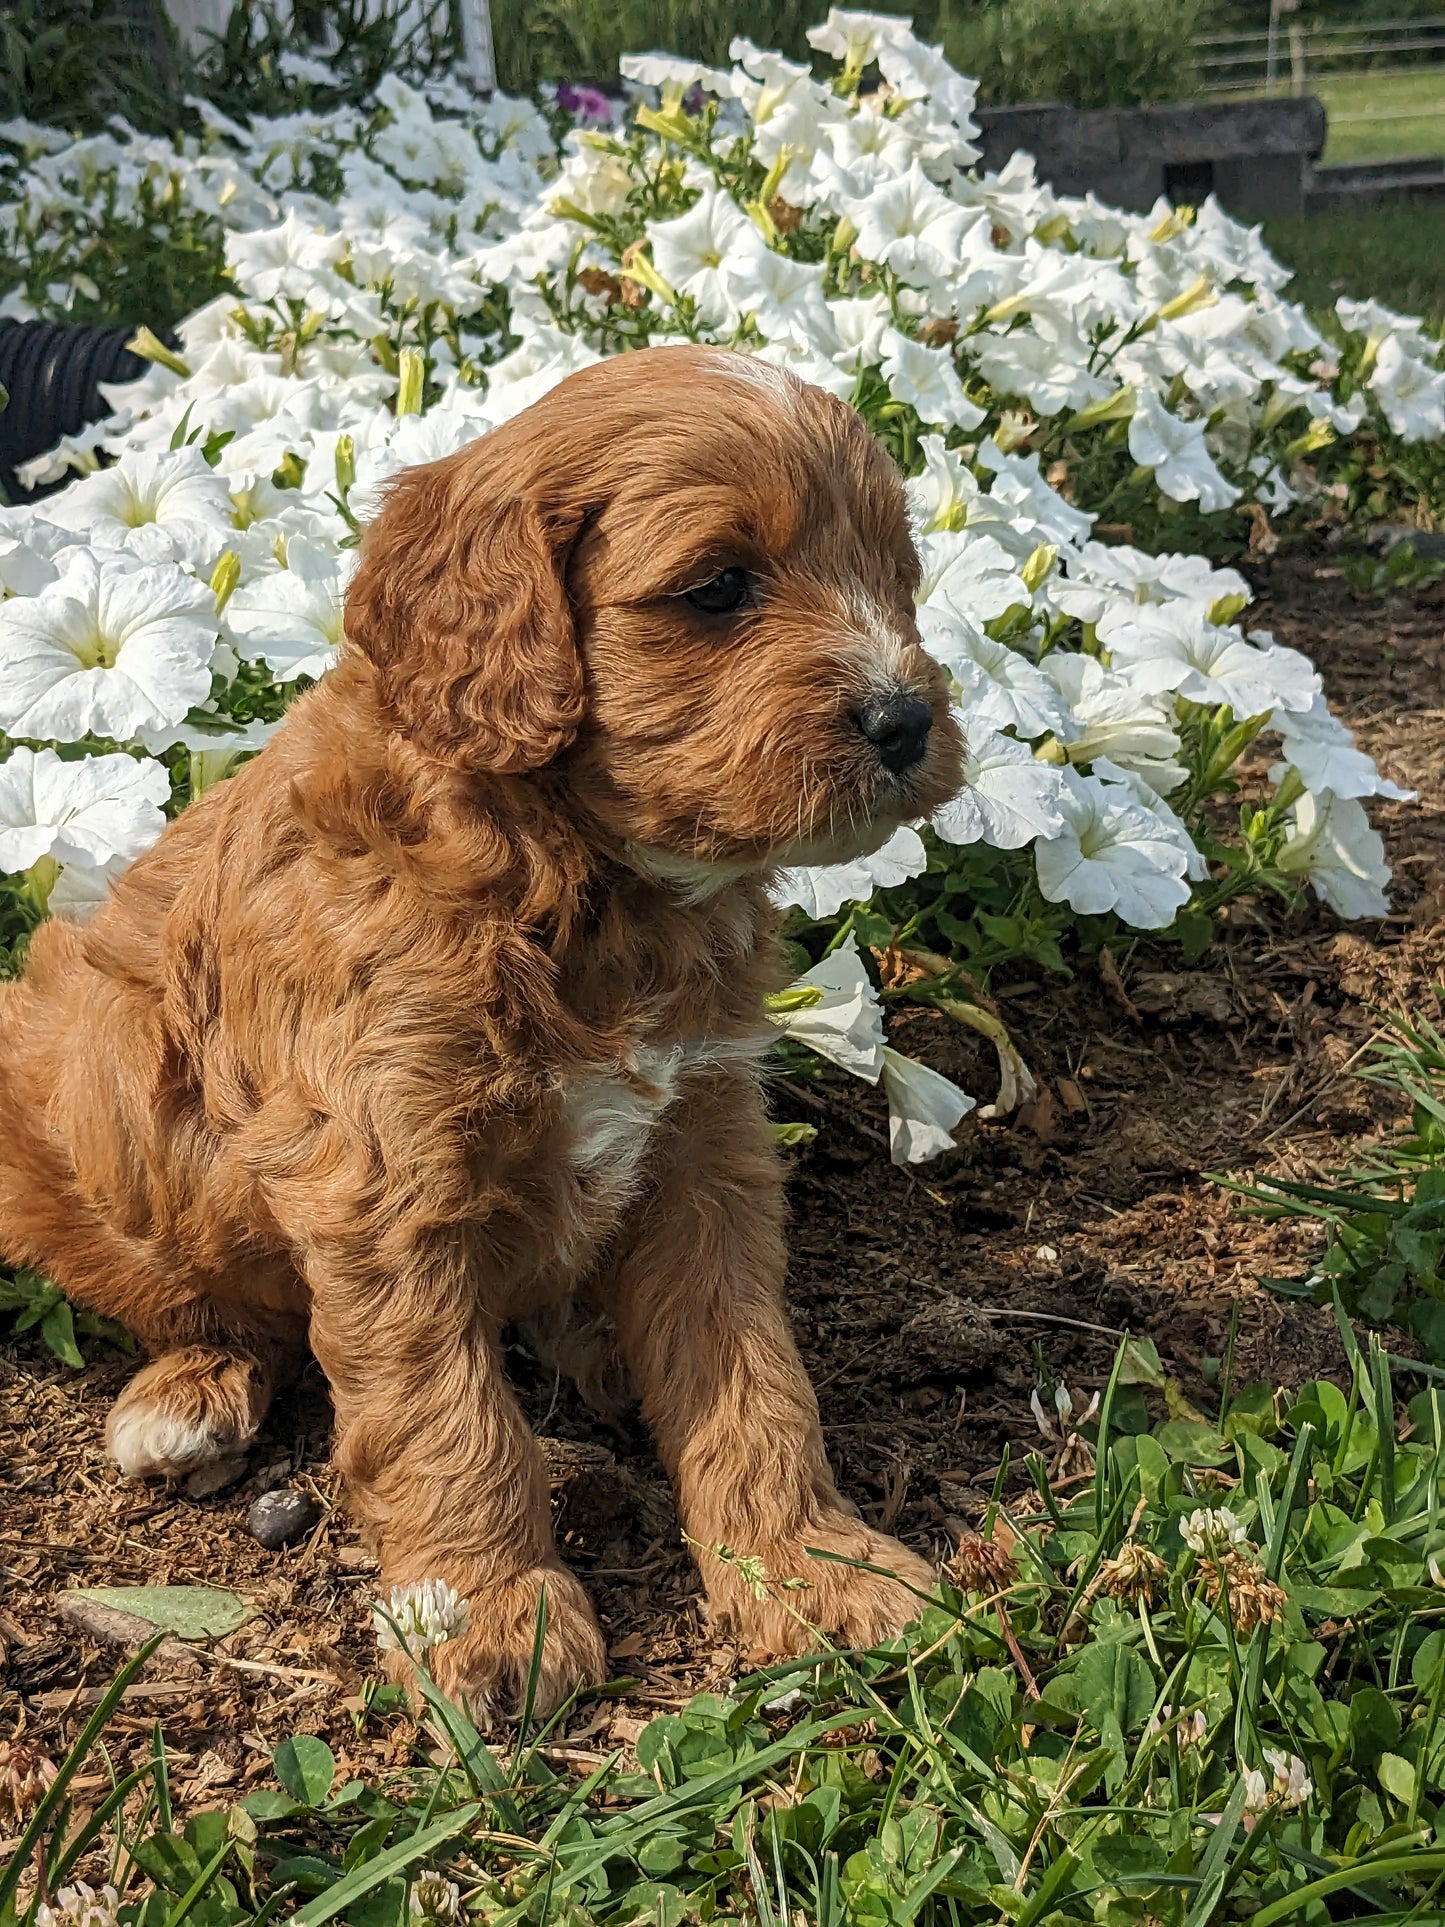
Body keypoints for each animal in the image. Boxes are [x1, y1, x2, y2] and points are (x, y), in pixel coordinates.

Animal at [8, 346, 974, 1718]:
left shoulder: (707, 1140)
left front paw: (809, 1566)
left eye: (898, 574)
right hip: (78, 1093)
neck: (586, 878)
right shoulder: (379, 1173)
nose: (903, 720)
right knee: (204, 1299)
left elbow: (752, 1373)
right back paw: (190, 1393)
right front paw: (493, 1615)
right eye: (718, 587)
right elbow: (444, 1410)